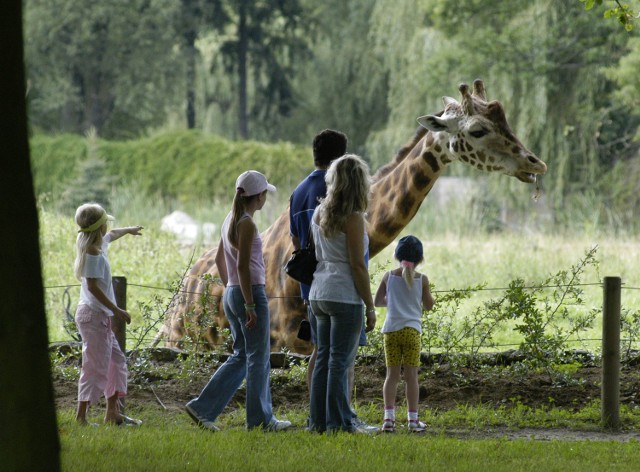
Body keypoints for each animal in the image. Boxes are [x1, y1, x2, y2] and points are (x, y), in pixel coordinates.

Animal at [158, 81, 548, 354]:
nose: (536, 164)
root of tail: (177, 300)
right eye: (477, 130)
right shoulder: (289, 343)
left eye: (506, 120)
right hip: (182, 343)